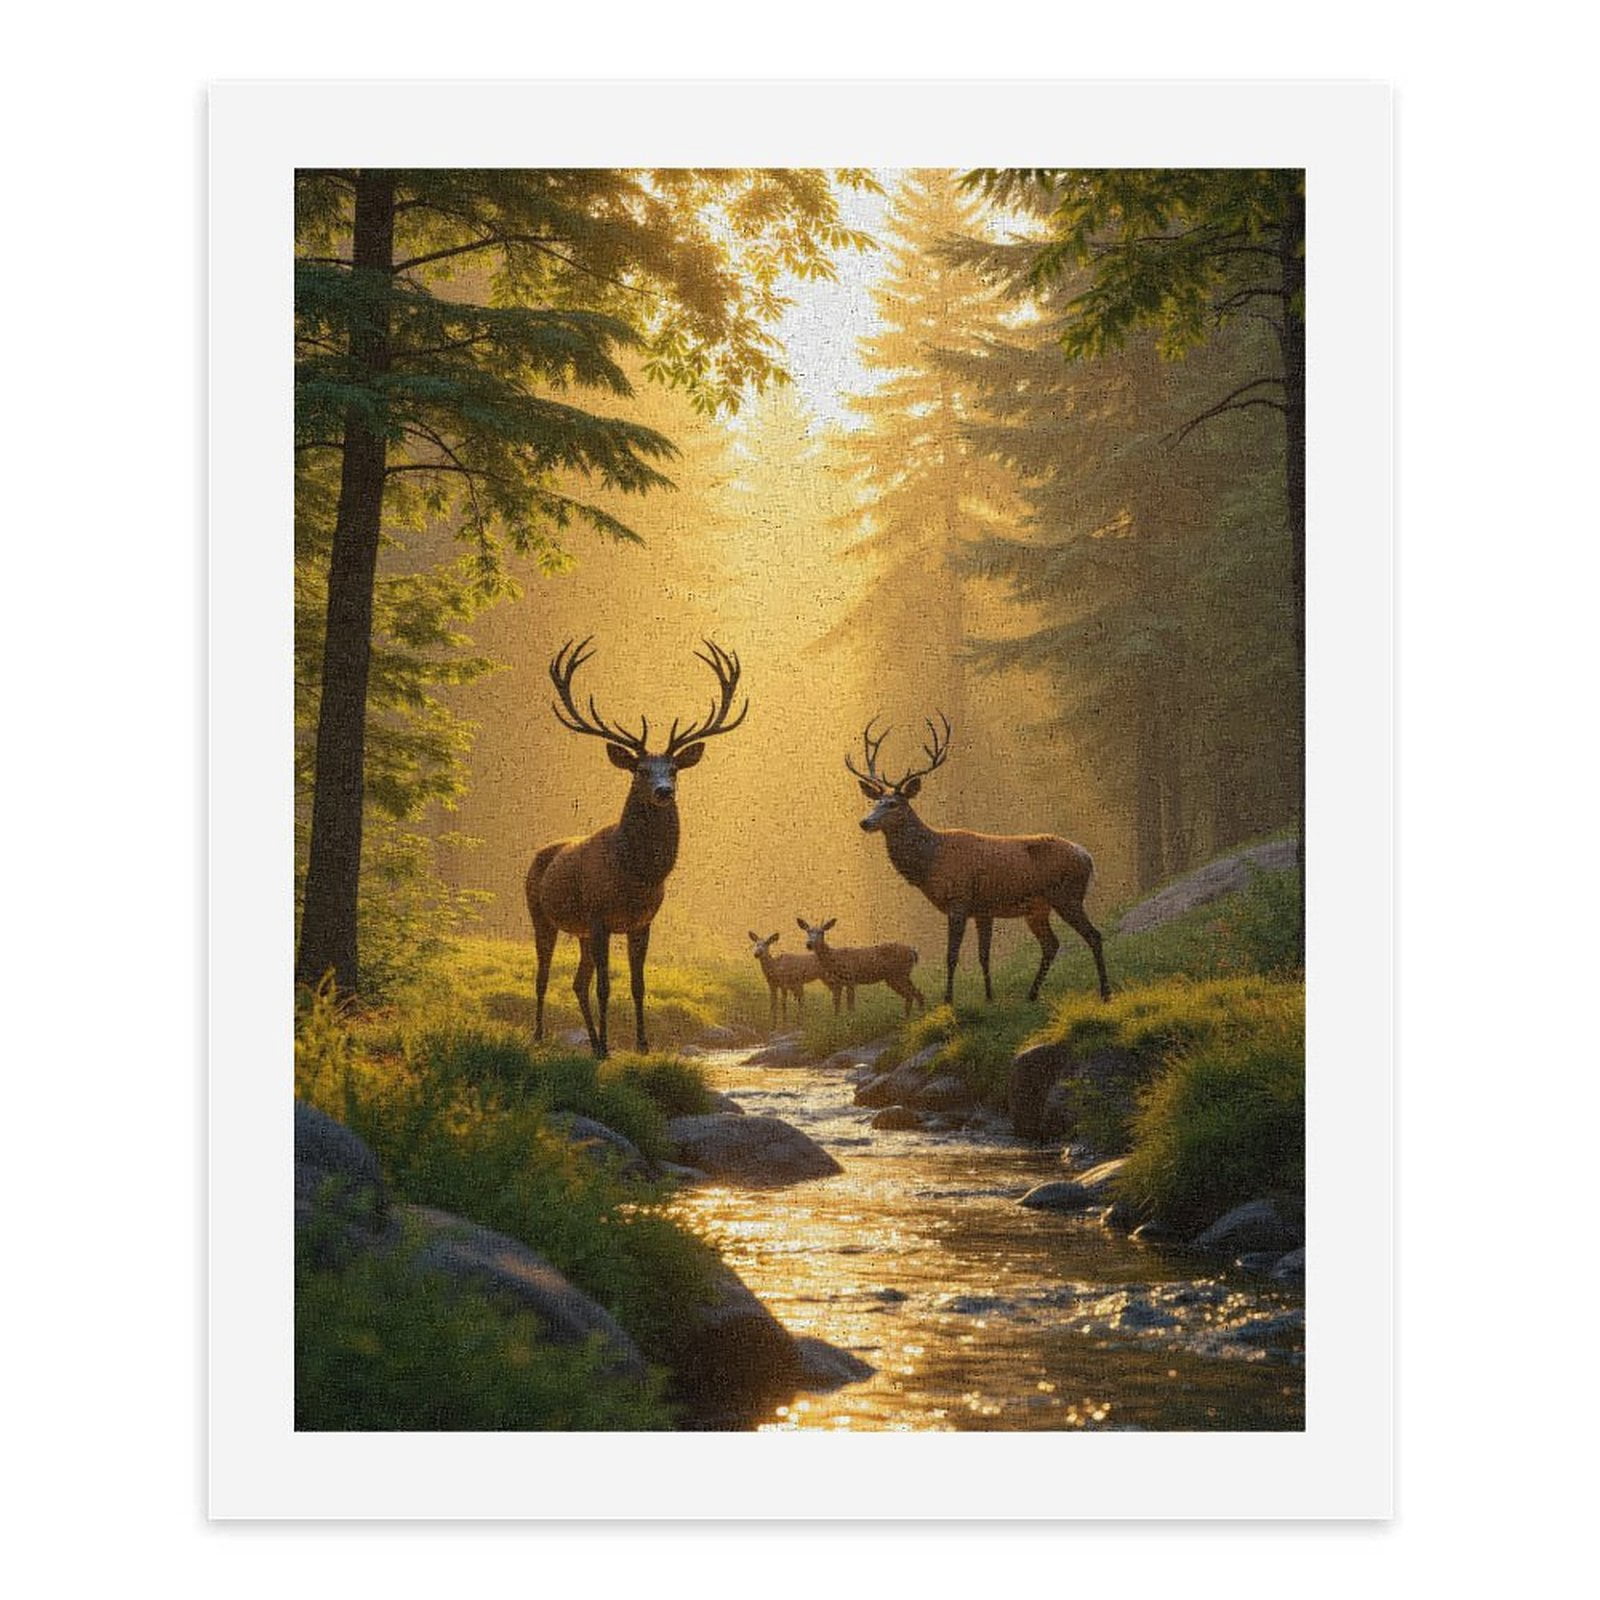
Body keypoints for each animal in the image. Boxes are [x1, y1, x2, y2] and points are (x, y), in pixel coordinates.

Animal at [526, 637, 747, 1059]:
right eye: (641, 771)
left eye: (673, 770)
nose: (664, 791)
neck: (635, 875)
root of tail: (539, 853)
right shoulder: (599, 917)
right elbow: (605, 987)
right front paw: (611, 1048)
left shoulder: (642, 922)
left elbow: (637, 984)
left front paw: (642, 1045)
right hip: (540, 915)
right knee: (543, 976)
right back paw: (540, 1036)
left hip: (579, 931)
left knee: (576, 982)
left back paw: (593, 1042)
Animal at [796, 917, 927, 1017]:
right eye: (808, 931)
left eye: (821, 932)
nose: (809, 944)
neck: (833, 959)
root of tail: (913, 951)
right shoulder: (837, 984)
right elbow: (837, 1007)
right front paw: (838, 1022)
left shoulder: (850, 979)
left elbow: (850, 1006)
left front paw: (851, 1021)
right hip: (897, 976)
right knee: (916, 993)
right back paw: (915, 1016)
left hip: (898, 974)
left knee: (912, 994)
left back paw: (911, 1017)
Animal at [846, 715, 1111, 1007]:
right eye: (875, 802)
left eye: (893, 804)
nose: (865, 822)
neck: (930, 862)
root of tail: (1087, 856)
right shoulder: (983, 909)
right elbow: (984, 955)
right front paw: (989, 997)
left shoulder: (959, 900)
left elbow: (952, 956)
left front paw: (948, 1000)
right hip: (1038, 908)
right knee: (1051, 944)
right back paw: (1031, 994)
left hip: (1067, 895)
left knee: (1093, 935)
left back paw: (1105, 992)